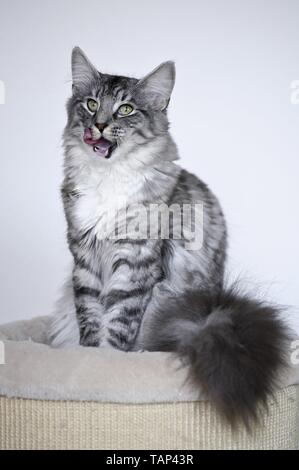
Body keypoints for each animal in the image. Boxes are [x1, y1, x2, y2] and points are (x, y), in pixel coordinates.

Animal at [49, 47, 290, 426]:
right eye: (90, 104)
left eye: (125, 109)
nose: (98, 125)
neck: (108, 177)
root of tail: (210, 312)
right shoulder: (84, 258)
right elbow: (89, 316)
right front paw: (87, 358)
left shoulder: (136, 261)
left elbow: (118, 321)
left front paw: (107, 362)